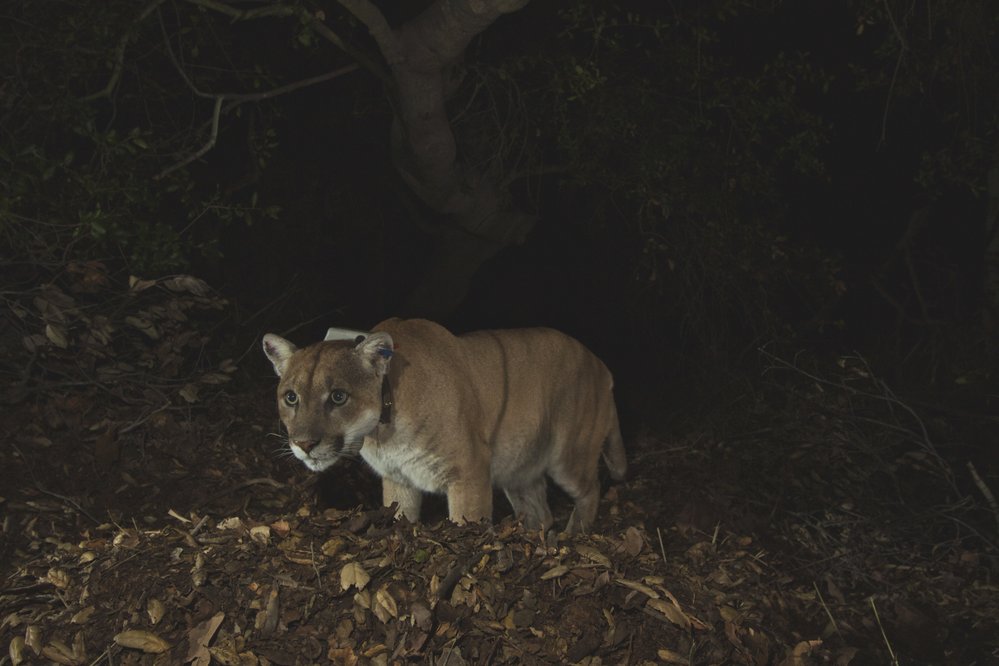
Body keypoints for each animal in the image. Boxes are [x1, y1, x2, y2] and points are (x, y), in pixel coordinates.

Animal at [262, 320, 628, 532]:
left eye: (338, 397)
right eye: (291, 397)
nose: (304, 444)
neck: (383, 431)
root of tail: (603, 366)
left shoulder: (468, 472)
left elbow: (468, 521)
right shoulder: (399, 480)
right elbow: (401, 517)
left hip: (569, 455)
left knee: (591, 489)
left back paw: (574, 534)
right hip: (518, 469)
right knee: (541, 513)